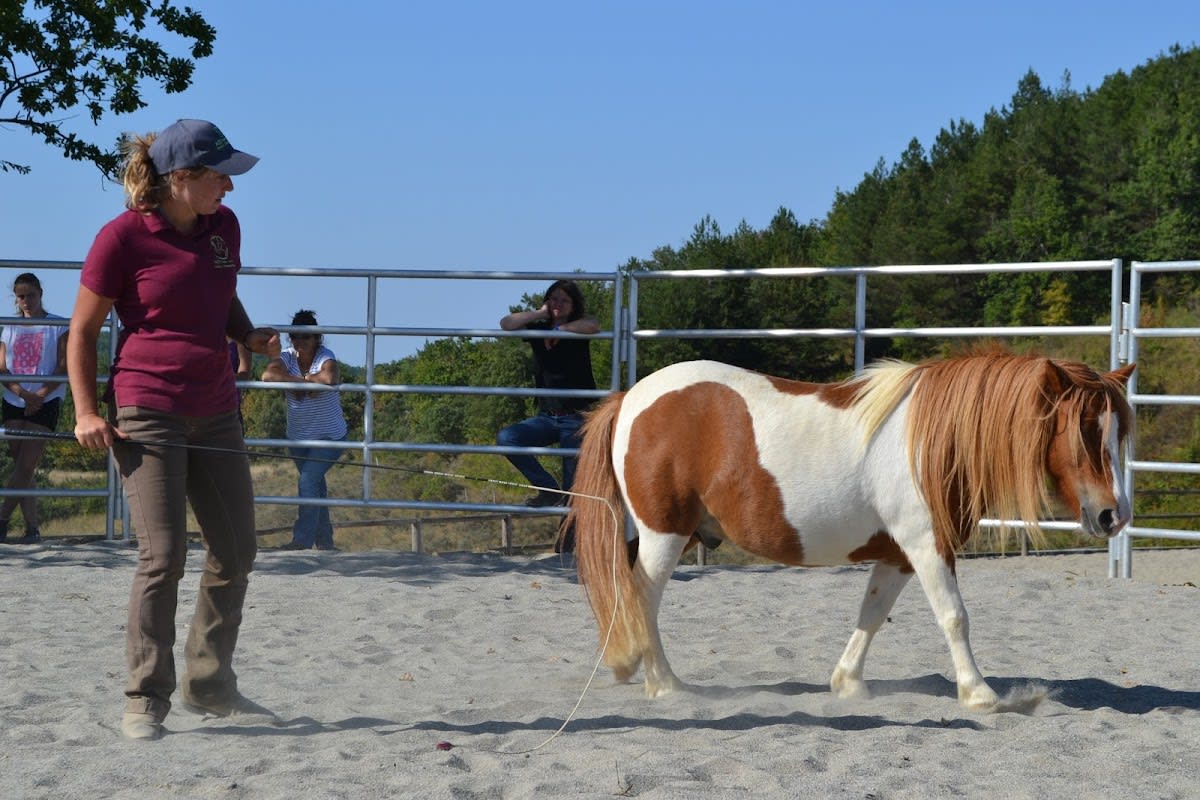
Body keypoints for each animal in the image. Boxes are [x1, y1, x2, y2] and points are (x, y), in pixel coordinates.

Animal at [568, 349, 1135, 711]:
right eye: (1083, 432)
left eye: (1118, 432)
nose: (1114, 515)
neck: (930, 439)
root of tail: (630, 397)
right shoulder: (927, 546)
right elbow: (954, 617)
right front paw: (979, 694)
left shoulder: (898, 554)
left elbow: (872, 614)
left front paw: (848, 685)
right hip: (664, 535)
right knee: (641, 598)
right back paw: (664, 685)